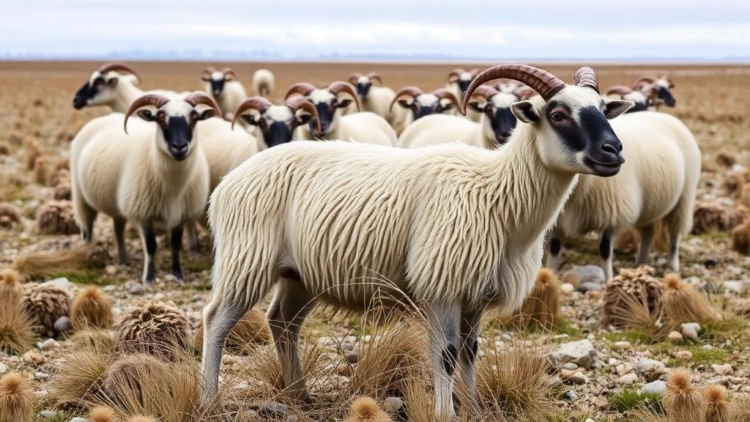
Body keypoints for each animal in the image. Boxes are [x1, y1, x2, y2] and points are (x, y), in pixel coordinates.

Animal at [70, 93, 217, 284]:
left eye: (194, 117)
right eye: (160, 117)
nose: (179, 147)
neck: (174, 187)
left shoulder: (181, 214)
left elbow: (176, 245)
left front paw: (178, 274)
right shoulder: (143, 213)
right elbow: (151, 245)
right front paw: (149, 277)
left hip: (117, 203)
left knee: (118, 229)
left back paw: (124, 258)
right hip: (81, 196)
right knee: (87, 229)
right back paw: (87, 255)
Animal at [546, 111, 701, 281]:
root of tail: (665, 115)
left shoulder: (614, 215)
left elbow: (605, 249)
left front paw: (608, 280)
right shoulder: (557, 220)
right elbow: (554, 247)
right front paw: (550, 273)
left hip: (684, 197)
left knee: (675, 233)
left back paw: (672, 265)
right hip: (649, 207)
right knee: (648, 232)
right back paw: (640, 262)